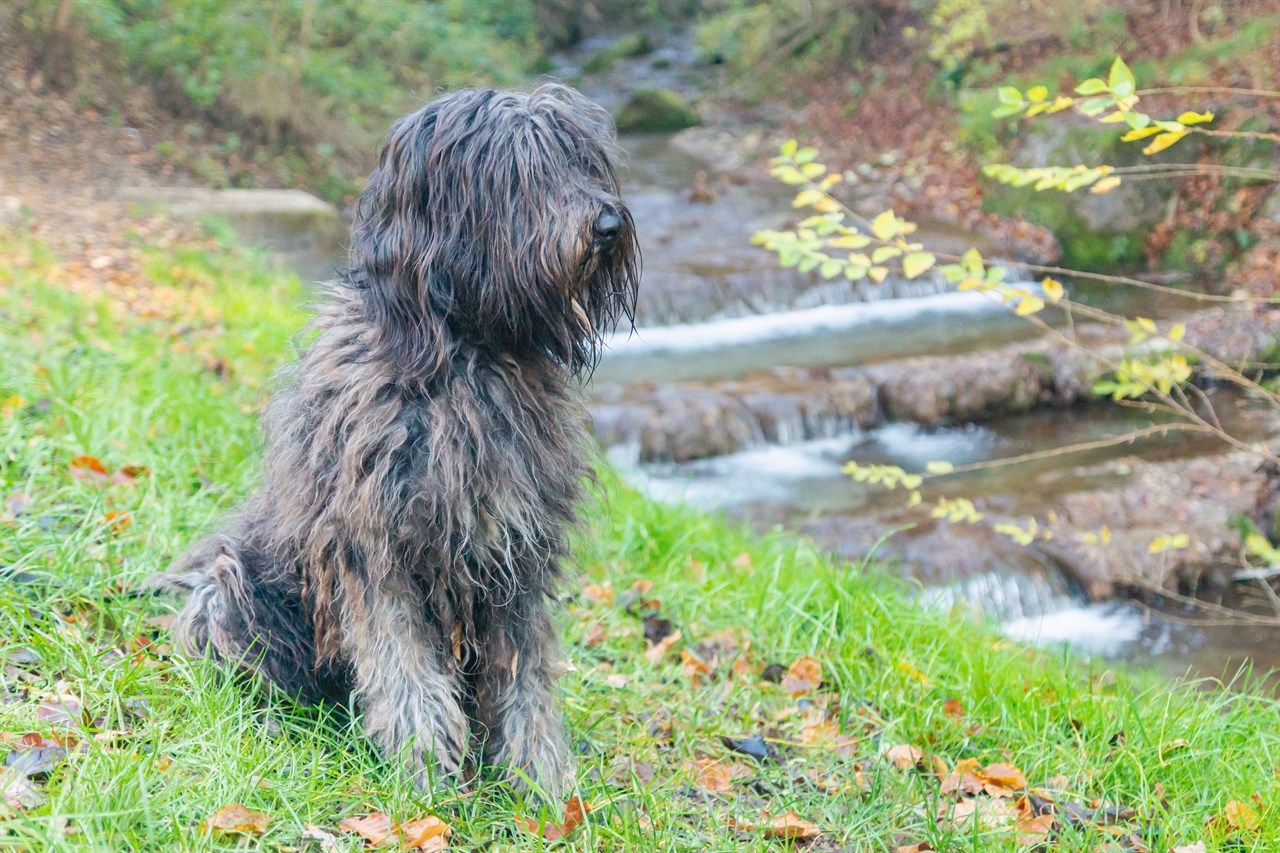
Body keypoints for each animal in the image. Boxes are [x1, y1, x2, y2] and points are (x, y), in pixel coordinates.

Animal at [170, 84, 640, 799]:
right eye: (520, 171)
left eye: (584, 161)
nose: (609, 224)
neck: (468, 354)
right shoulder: (370, 545)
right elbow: (404, 669)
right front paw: (425, 775)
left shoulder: (516, 552)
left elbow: (525, 677)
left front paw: (540, 781)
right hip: (228, 587)